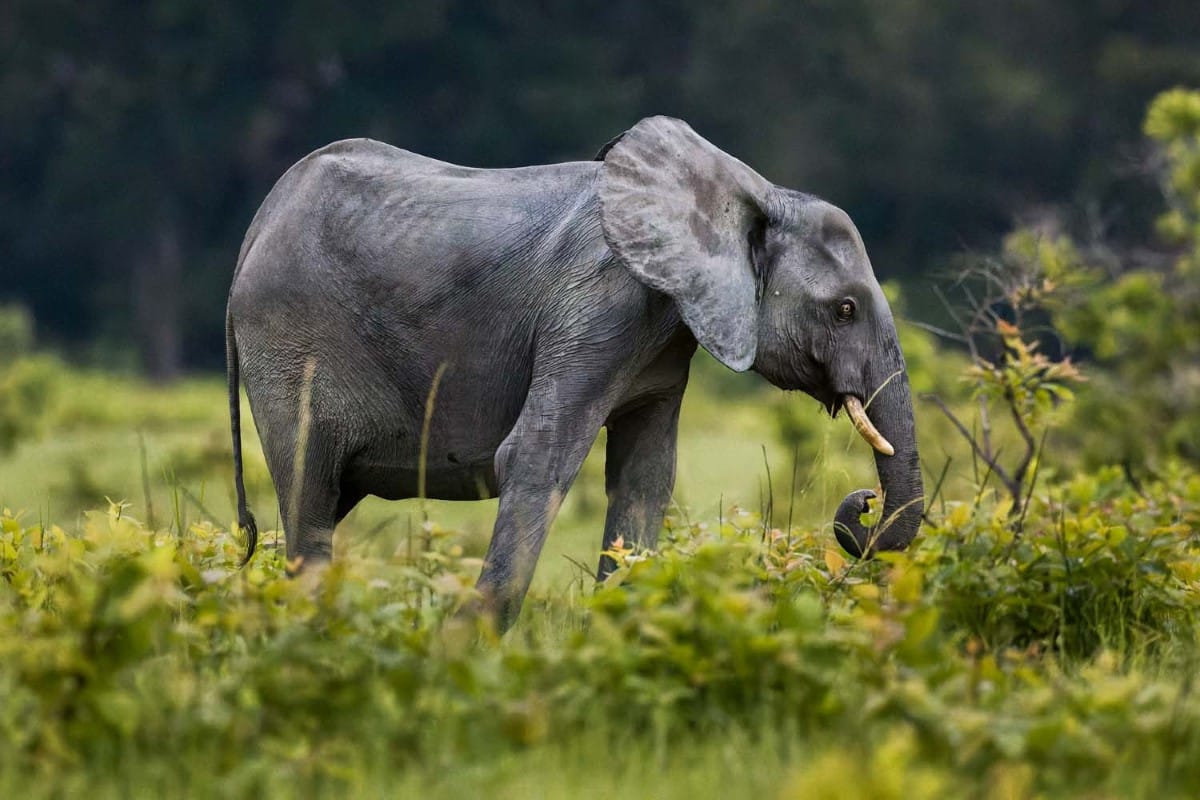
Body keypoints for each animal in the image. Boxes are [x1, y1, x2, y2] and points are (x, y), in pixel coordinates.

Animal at [225, 117, 921, 633]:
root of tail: (258, 221)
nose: (863, 500)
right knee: (310, 494)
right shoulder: (597, 307)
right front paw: (463, 649)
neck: (745, 193)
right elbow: (538, 458)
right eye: (845, 309)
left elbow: (646, 480)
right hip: (286, 340)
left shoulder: (663, 344)